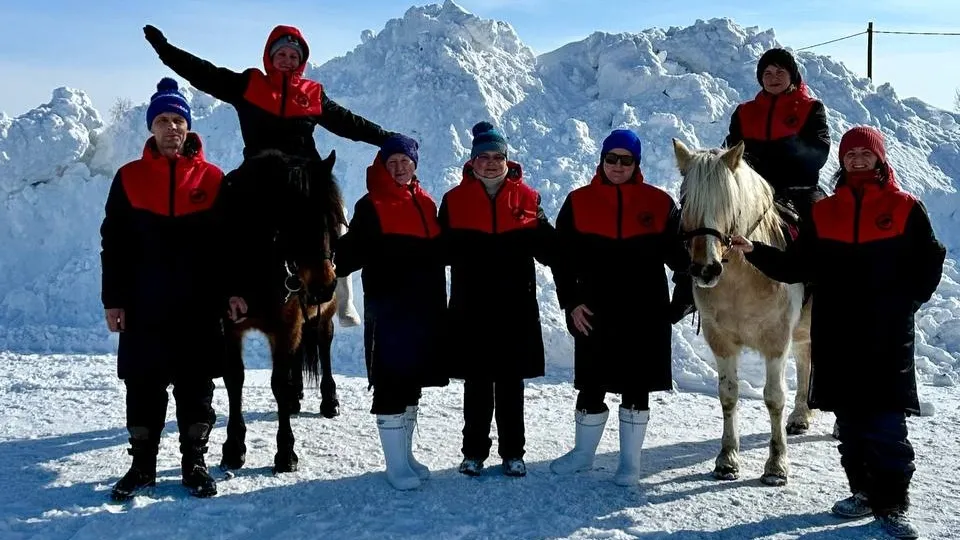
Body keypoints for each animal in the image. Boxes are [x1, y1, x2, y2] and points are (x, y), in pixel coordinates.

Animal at [217, 148, 344, 472]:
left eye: (334, 219)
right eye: (298, 218)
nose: (324, 286)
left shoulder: (286, 327)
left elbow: (279, 383)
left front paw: (286, 452)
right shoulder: (229, 325)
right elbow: (234, 379)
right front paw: (233, 446)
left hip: (322, 316)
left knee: (324, 345)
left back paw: (329, 400)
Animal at [672, 138, 812, 486]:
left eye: (729, 201)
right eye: (685, 198)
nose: (706, 269)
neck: (744, 277)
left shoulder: (776, 342)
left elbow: (774, 398)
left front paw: (776, 466)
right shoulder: (721, 340)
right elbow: (728, 394)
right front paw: (727, 460)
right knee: (805, 359)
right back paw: (800, 416)